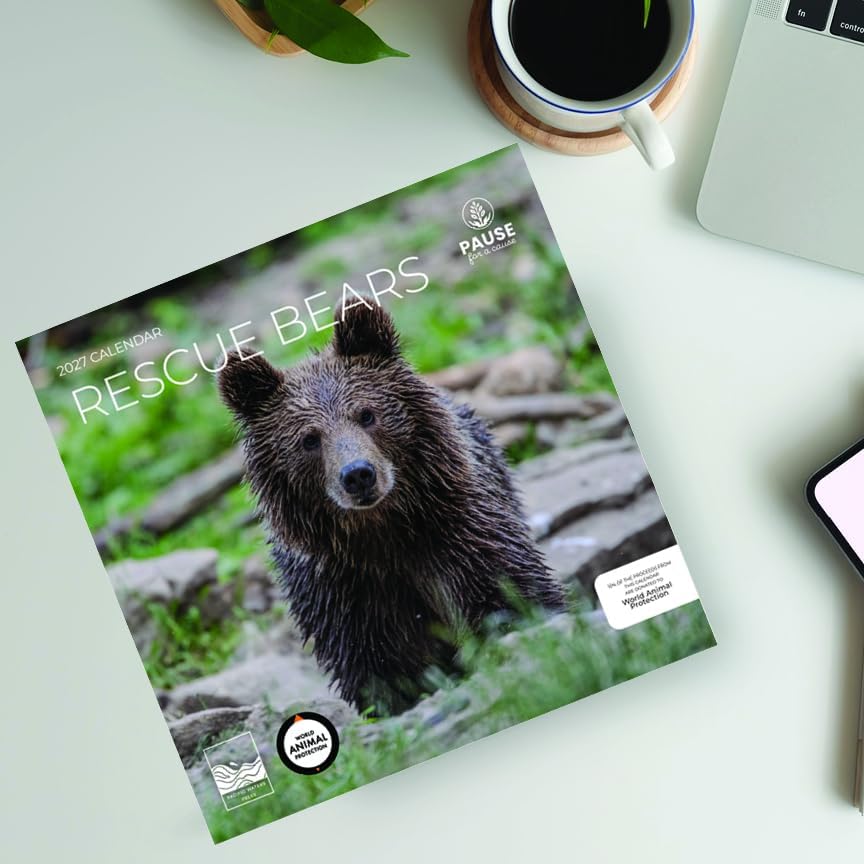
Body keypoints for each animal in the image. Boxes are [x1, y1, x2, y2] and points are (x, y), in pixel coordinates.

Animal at [218, 300, 565, 715]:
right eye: (309, 439)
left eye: (367, 414)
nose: (358, 475)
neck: (385, 534)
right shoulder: (343, 589)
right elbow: (380, 666)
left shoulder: (462, 529)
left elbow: (508, 591)